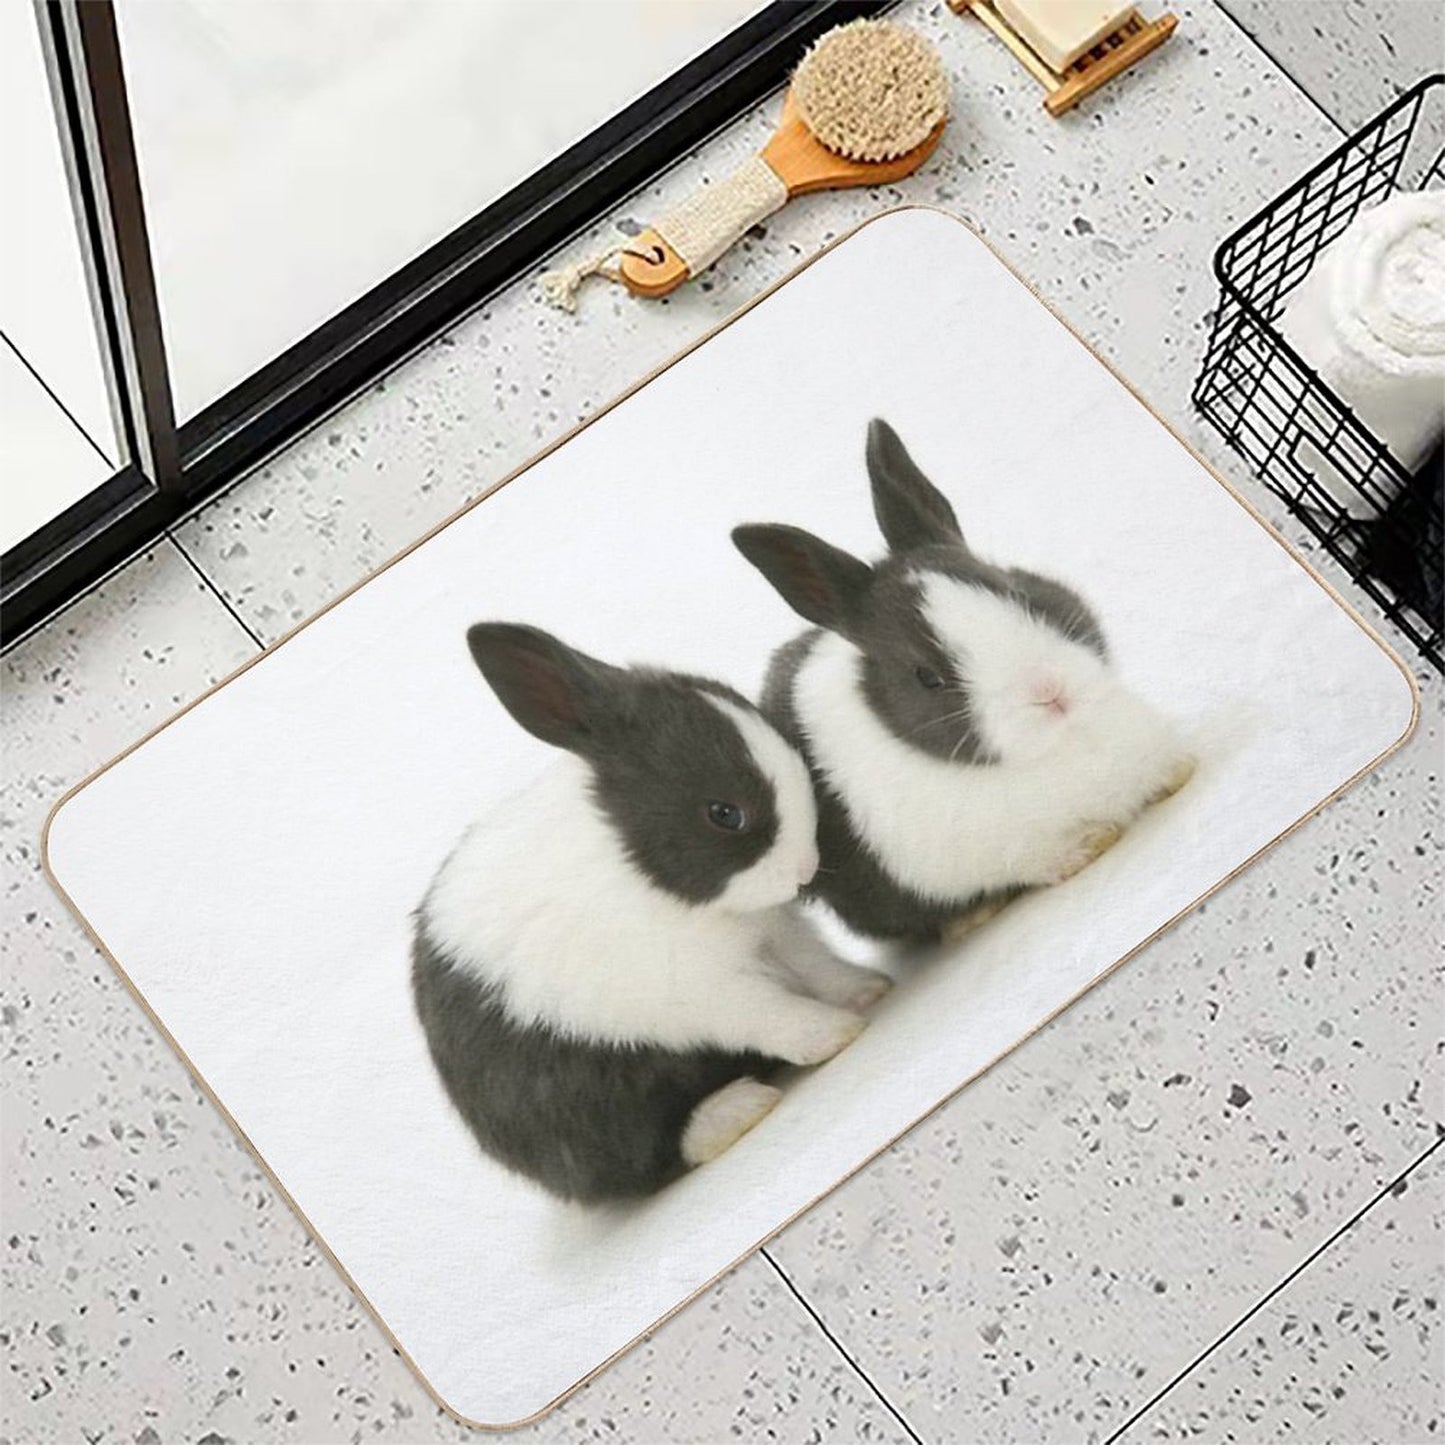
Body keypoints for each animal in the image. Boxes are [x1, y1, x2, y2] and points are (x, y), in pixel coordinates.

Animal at [412, 623, 890, 1204]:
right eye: (725, 813)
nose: (805, 869)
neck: (641, 868)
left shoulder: (775, 933)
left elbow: (818, 965)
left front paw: (868, 990)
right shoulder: (702, 991)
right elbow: (770, 1013)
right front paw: (836, 1033)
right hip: (594, 1104)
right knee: (648, 1156)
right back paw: (737, 1110)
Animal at [731, 418, 1196, 943]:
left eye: (1014, 589)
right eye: (927, 677)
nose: (1049, 691)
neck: (1061, 746)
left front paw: (1179, 772)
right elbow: (1037, 858)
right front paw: (1090, 844)